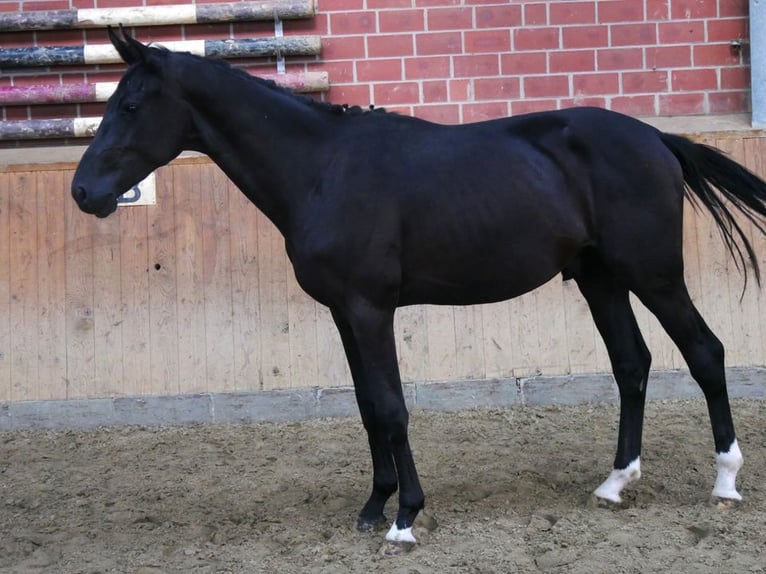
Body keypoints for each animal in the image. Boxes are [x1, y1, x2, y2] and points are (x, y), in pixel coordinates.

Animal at [72, 29, 760, 552]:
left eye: (130, 106)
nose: (83, 192)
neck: (323, 169)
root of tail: (655, 139)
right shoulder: (344, 314)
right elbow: (366, 406)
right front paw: (375, 504)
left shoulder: (371, 310)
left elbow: (392, 406)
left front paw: (405, 518)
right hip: (601, 280)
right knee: (632, 365)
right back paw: (615, 483)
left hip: (655, 277)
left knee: (705, 353)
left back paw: (725, 482)